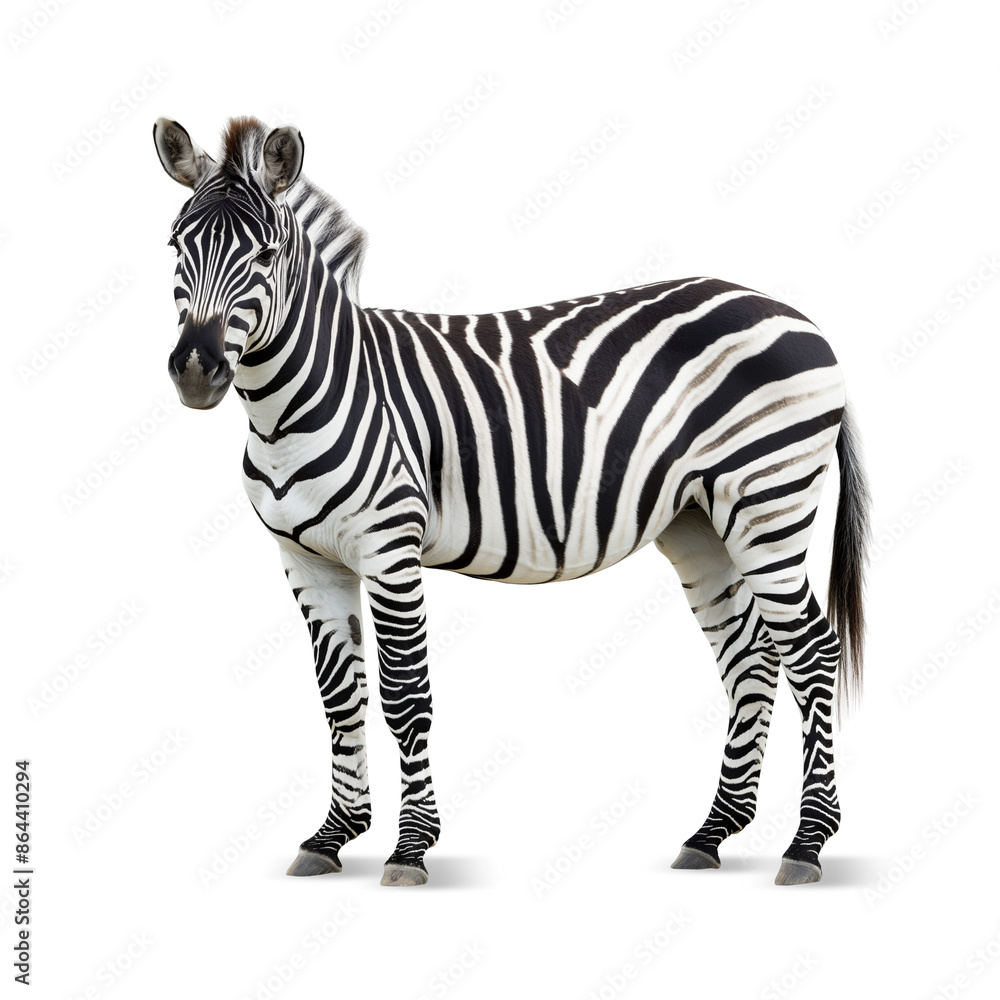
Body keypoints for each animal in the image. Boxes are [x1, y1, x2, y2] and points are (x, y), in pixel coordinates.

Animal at [153, 115, 870, 888]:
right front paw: (333, 835)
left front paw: (410, 848)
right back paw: (712, 833)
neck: (297, 402)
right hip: (700, 522)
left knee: (813, 651)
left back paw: (807, 843)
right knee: (750, 660)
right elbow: (340, 699)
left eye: (266, 253)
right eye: (176, 247)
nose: (196, 370)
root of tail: (796, 315)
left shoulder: (390, 547)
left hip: (769, 502)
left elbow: (405, 696)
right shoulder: (307, 559)